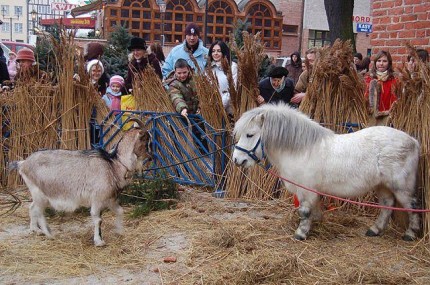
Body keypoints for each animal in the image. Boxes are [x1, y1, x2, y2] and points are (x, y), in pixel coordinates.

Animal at [232, 103, 420, 239]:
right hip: (382, 185)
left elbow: (304, 211)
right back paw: (375, 230)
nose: (237, 160)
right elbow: (314, 210)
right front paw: (315, 224)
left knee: (412, 206)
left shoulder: (305, 190)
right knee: (387, 205)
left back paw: (410, 234)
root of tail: (413, 141)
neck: (301, 149)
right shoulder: (312, 191)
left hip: (401, 187)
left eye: (250, 134)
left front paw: (301, 233)